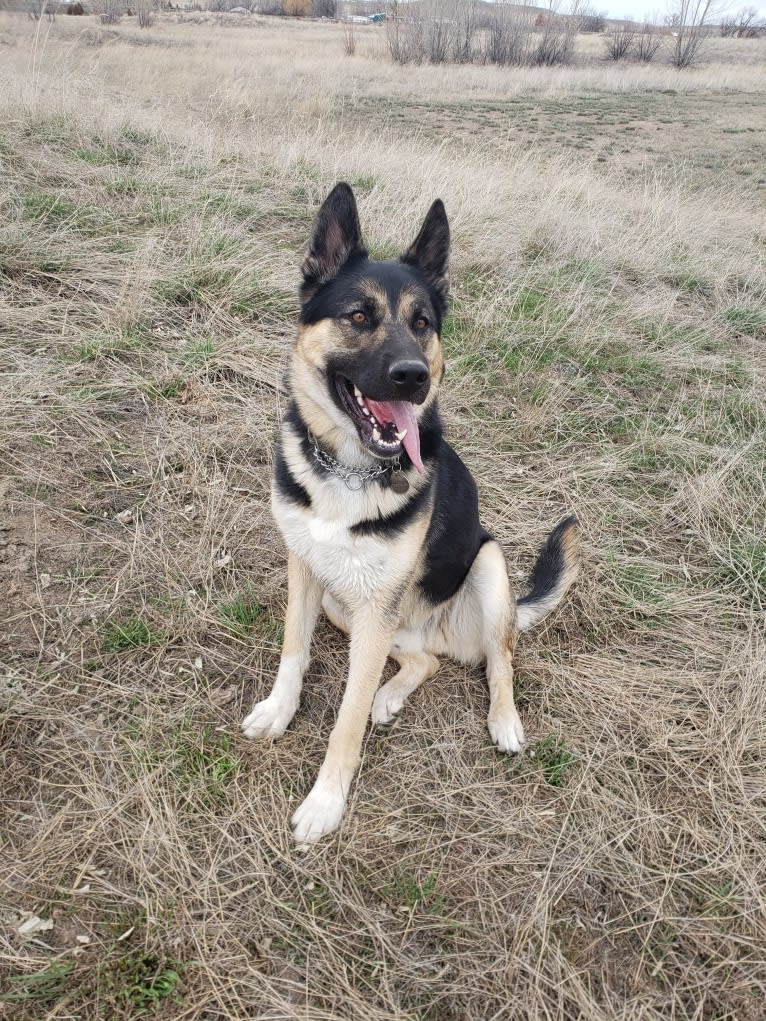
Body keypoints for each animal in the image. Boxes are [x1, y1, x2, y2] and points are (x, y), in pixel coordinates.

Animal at [243, 183, 580, 845]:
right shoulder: (308, 573)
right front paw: (279, 710)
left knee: (499, 659)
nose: (414, 378)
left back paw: (502, 720)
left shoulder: (378, 605)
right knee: (421, 660)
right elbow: (293, 651)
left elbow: (345, 720)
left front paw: (326, 802)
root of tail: (437, 630)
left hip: (487, 567)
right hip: (349, 609)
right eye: (358, 317)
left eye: (422, 324)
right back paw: (391, 694)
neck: (347, 470)